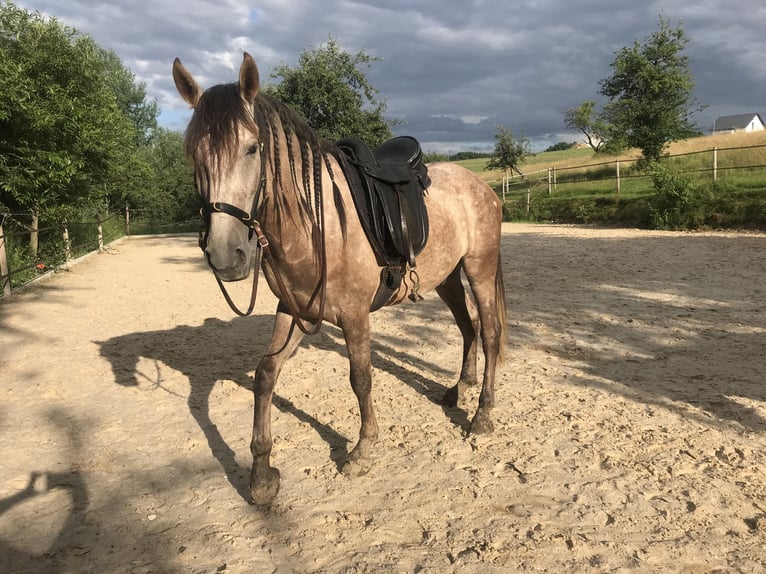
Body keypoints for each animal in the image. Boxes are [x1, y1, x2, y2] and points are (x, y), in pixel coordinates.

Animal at [172, 52, 507, 506]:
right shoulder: (293, 309)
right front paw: (261, 475)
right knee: (467, 327)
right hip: (447, 277)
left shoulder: (353, 313)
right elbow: (265, 375)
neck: (314, 223)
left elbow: (360, 379)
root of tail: (481, 186)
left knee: (488, 333)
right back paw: (460, 388)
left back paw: (482, 415)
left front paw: (363, 450)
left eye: (252, 148)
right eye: (193, 154)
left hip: (479, 268)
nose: (226, 256)